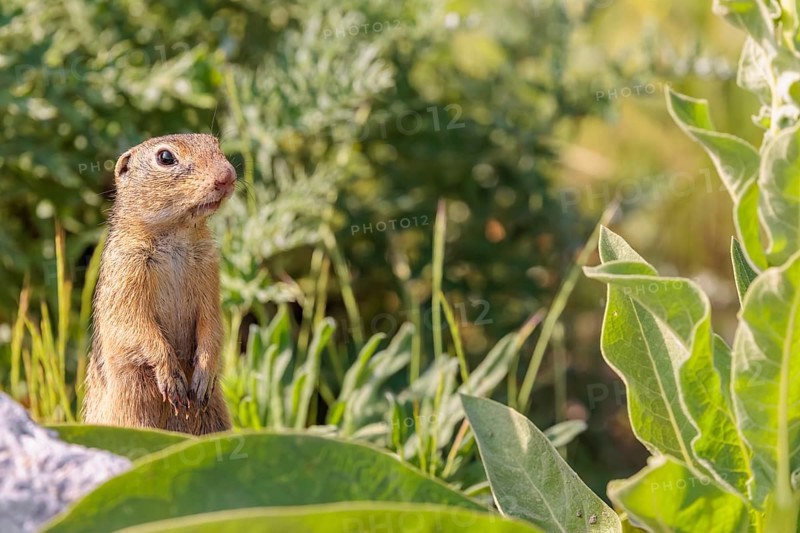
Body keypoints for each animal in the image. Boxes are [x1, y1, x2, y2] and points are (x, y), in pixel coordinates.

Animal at [82, 134, 234, 435]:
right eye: (165, 157)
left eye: (215, 143)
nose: (228, 175)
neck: (176, 234)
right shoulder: (126, 274)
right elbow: (136, 326)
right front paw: (172, 379)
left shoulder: (210, 276)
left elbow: (213, 325)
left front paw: (202, 378)